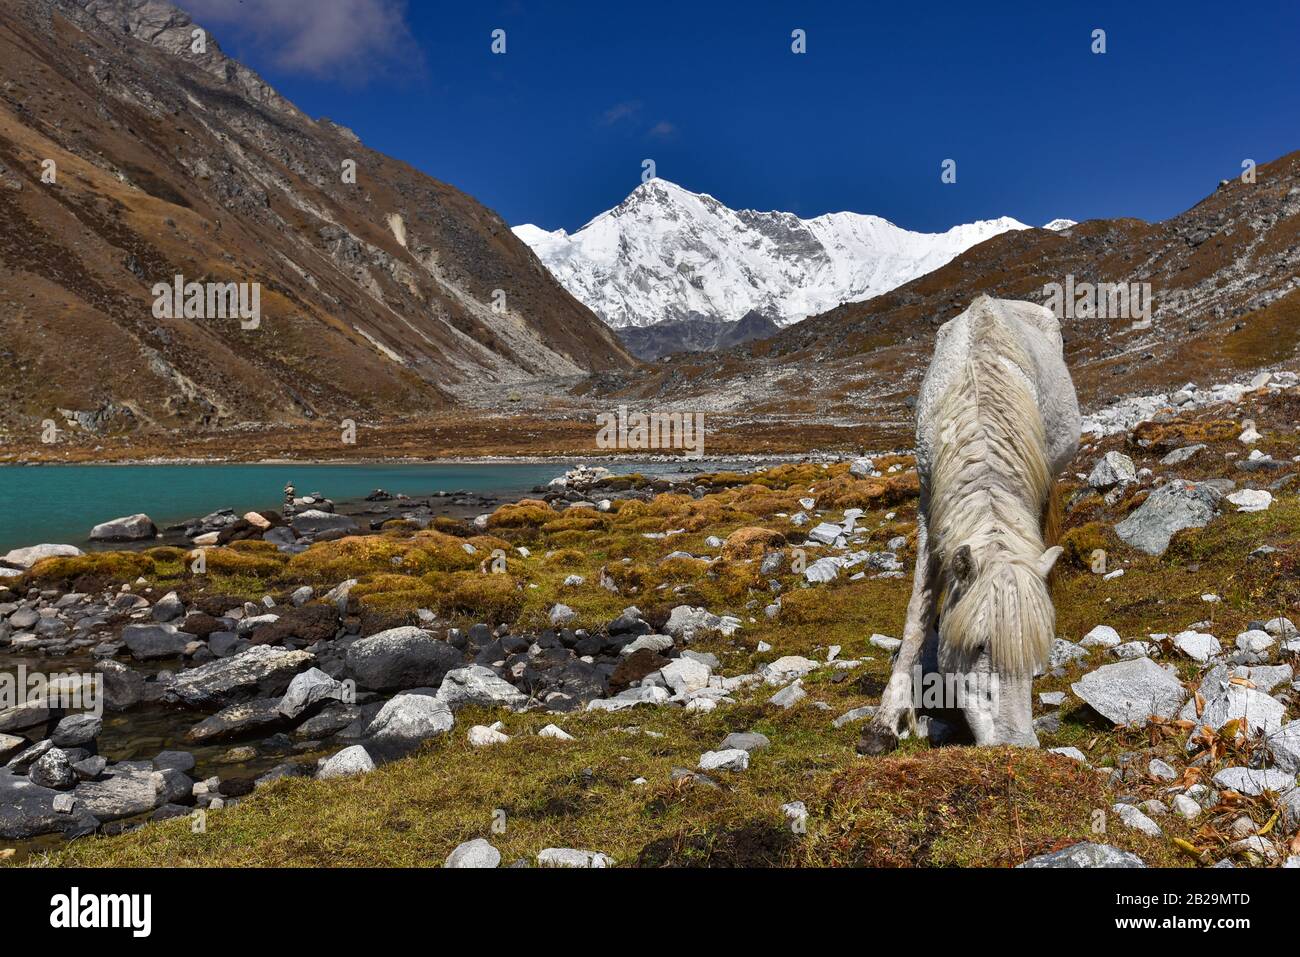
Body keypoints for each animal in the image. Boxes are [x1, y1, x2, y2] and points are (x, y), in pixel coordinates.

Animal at [858, 295, 1080, 753]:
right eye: (978, 646)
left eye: (1035, 654)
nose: (1017, 745)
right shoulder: (928, 506)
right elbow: (918, 613)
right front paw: (884, 723)